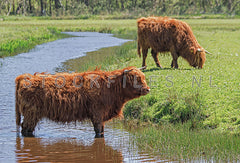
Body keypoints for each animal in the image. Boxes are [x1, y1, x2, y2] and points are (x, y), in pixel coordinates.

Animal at [15, 66, 149, 138]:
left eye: (143, 77)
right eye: (136, 78)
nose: (147, 89)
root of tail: (25, 77)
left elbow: (102, 130)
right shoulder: (97, 113)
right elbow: (98, 131)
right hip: (31, 113)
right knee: (25, 128)